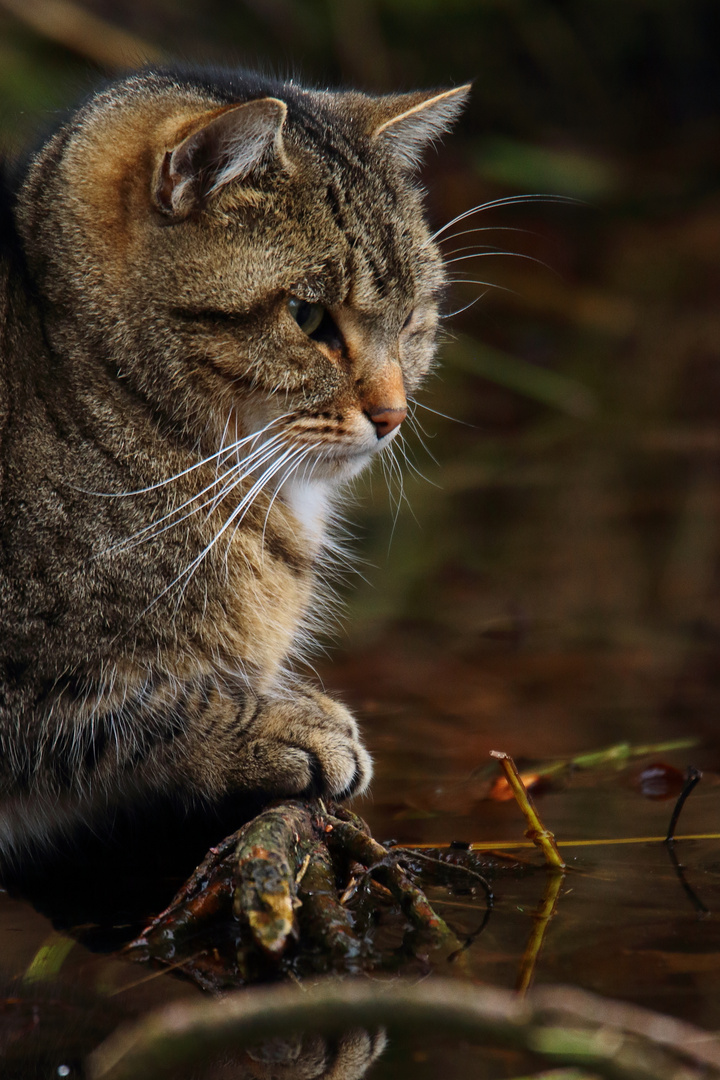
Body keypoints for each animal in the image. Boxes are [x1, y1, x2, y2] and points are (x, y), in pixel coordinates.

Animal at [0, 67, 468, 872]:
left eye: (414, 318)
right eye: (308, 317)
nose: (394, 415)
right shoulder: (25, 686)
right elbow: (140, 705)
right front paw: (281, 722)